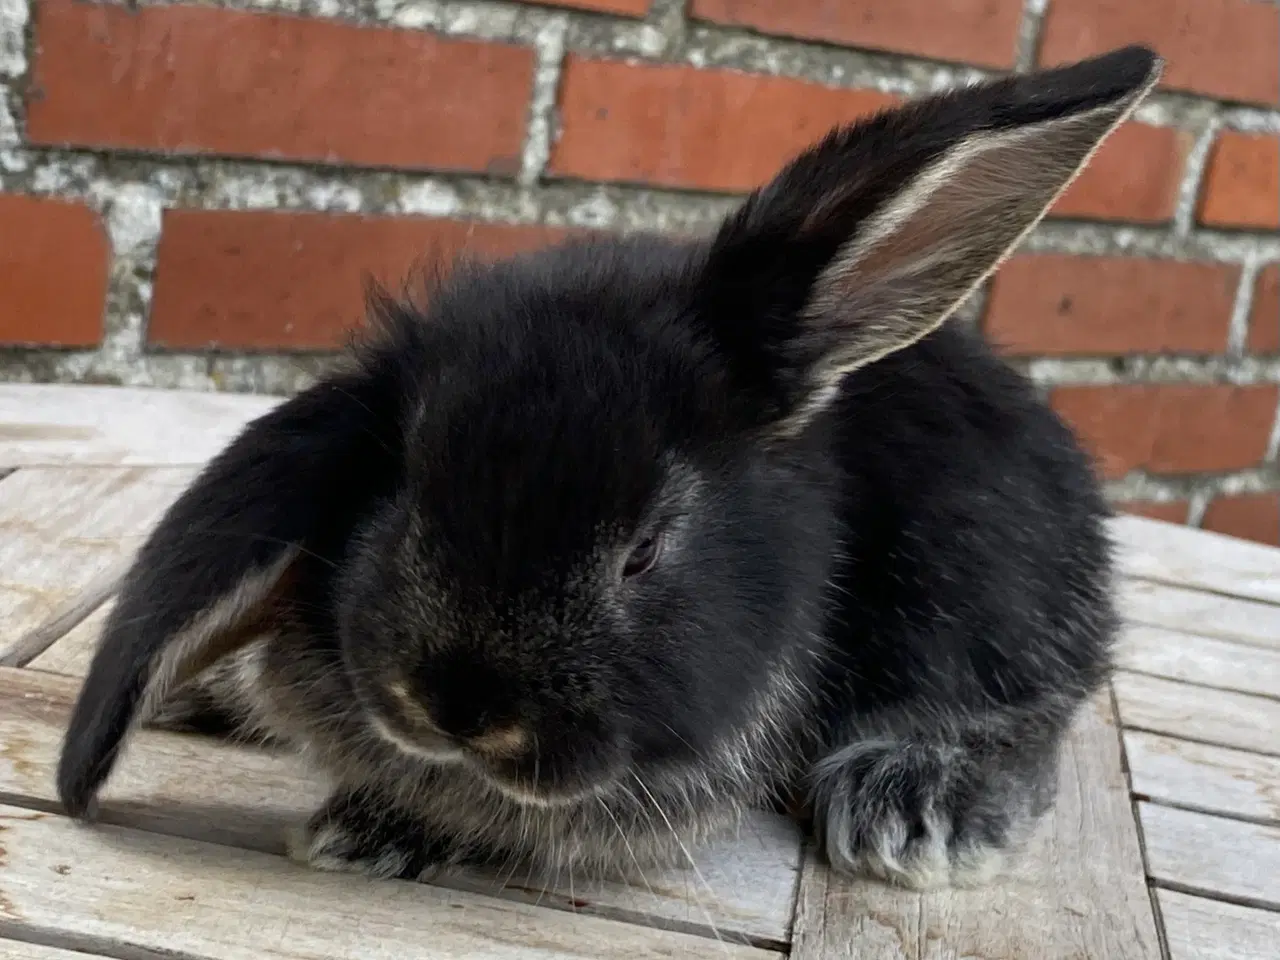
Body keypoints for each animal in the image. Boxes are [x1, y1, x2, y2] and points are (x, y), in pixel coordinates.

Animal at [57, 47, 1162, 896]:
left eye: (645, 551)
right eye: (404, 491)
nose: (458, 708)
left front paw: (370, 830)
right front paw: (365, 819)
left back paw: (914, 809)